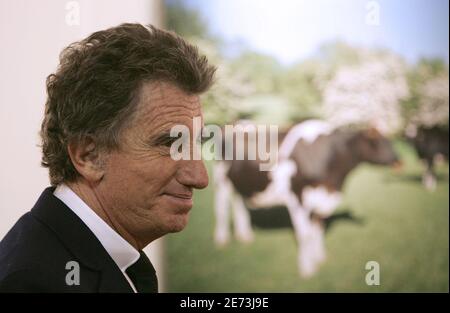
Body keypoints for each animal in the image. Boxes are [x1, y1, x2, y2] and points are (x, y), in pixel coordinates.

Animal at [213, 119, 400, 276]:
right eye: (379, 141)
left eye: (390, 140)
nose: (399, 162)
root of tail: (236, 122)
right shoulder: (297, 198)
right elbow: (304, 234)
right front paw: (307, 268)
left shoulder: (322, 199)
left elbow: (318, 229)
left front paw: (320, 258)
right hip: (221, 179)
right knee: (222, 208)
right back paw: (222, 240)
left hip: (241, 182)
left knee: (239, 204)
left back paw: (245, 236)